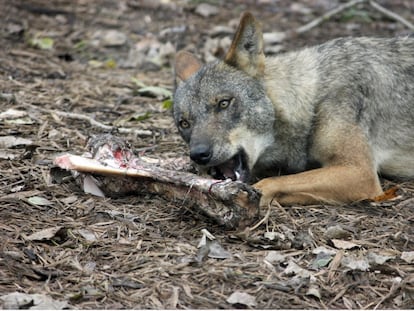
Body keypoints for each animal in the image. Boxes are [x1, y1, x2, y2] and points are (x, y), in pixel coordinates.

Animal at [171, 12, 414, 207]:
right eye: (184, 123)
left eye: (224, 103)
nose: (199, 154)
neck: (312, 99)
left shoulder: (360, 172)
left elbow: (270, 183)